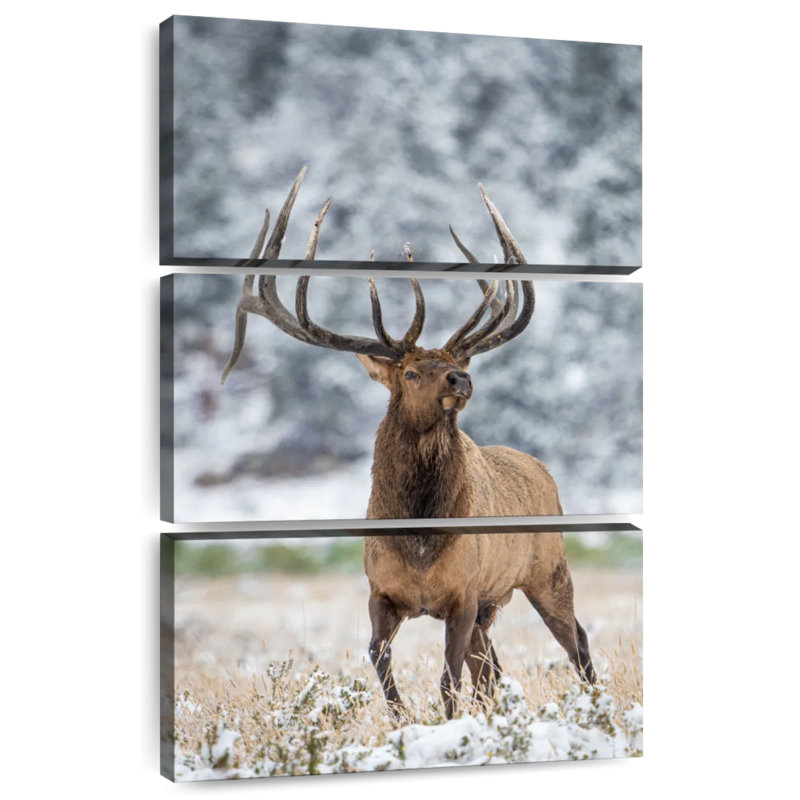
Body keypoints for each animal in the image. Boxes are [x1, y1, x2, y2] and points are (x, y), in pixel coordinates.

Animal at [220, 166, 596, 719]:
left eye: (454, 363)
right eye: (413, 372)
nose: (462, 378)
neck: (417, 539)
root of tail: (543, 470)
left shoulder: (463, 595)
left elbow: (448, 679)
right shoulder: (382, 591)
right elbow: (379, 658)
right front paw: (401, 718)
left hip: (547, 571)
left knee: (576, 643)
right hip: (494, 603)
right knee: (494, 667)